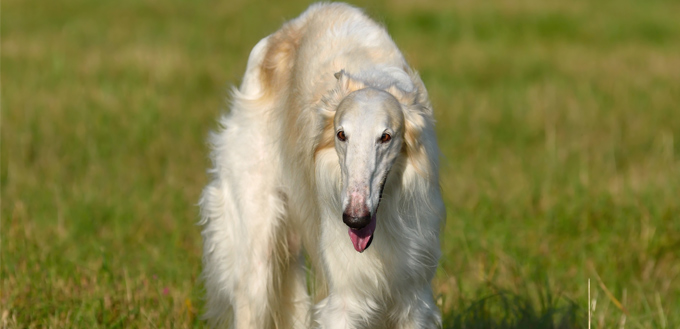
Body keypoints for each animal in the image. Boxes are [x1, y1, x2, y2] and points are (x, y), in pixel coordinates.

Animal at [201, 3, 446, 328]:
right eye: (341, 135)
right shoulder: (344, 296)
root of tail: (289, 28)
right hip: (257, 247)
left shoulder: (413, 295)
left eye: (385, 137)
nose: (355, 219)